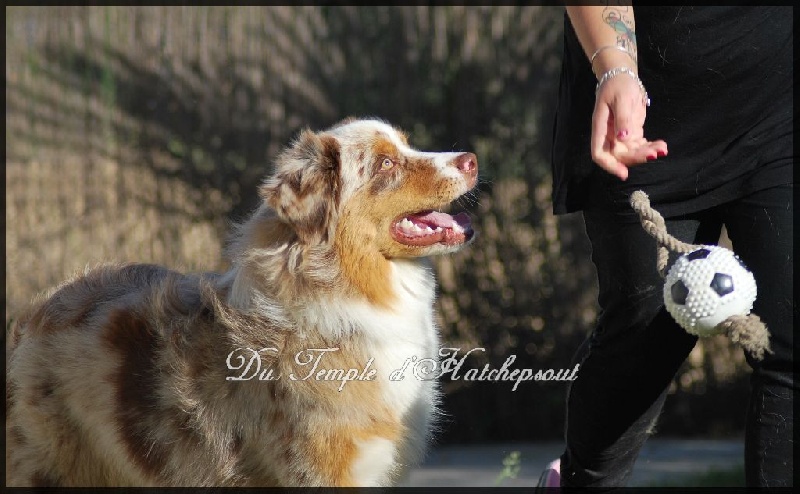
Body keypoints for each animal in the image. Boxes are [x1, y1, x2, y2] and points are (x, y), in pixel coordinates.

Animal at [6, 118, 478, 486]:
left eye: (406, 144)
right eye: (385, 164)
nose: (471, 159)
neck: (346, 287)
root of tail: (34, 315)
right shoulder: (322, 472)